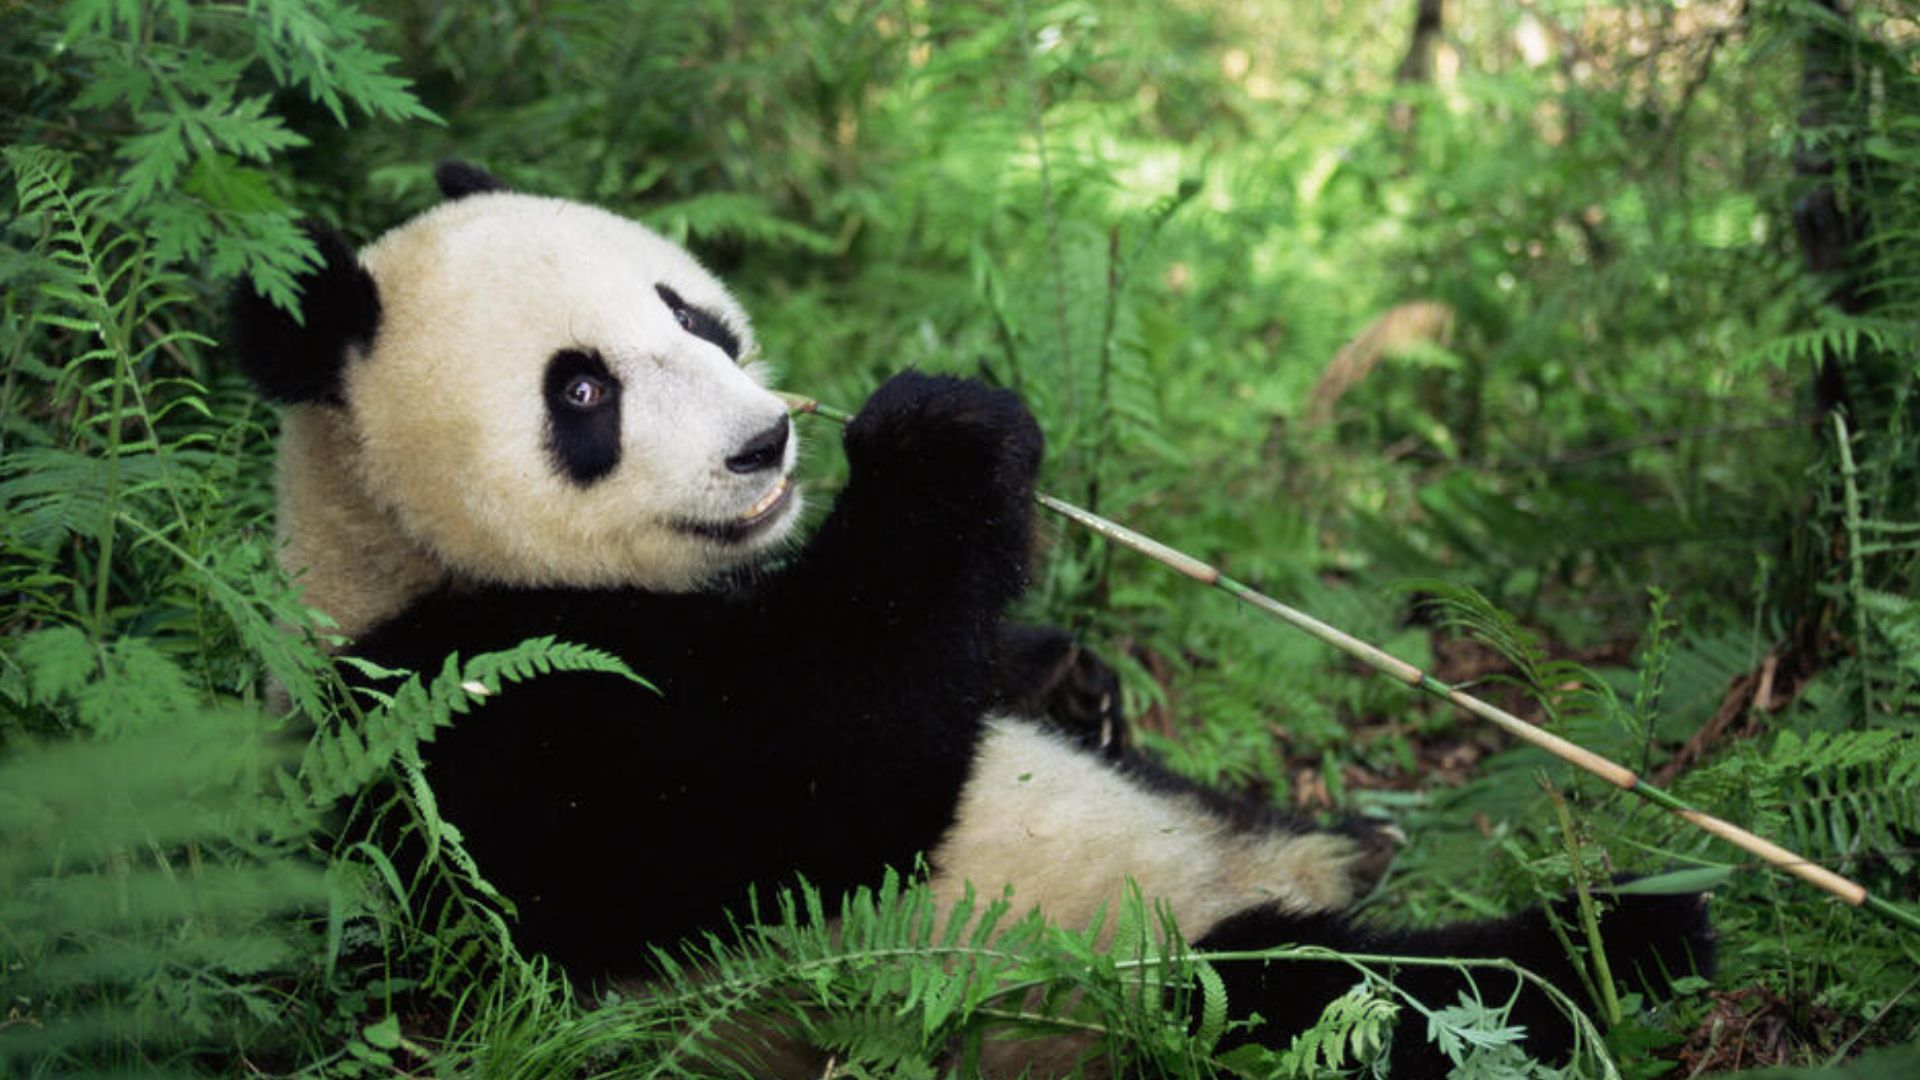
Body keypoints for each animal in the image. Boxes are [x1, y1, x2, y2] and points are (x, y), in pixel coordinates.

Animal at [233, 161, 1713, 1074]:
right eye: (582, 392)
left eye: (691, 314)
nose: (767, 443)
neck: (396, 549)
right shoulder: (465, 721)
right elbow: (809, 795)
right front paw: (943, 441)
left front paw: (1066, 673)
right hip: (1106, 990)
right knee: (1341, 999)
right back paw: (1622, 943)